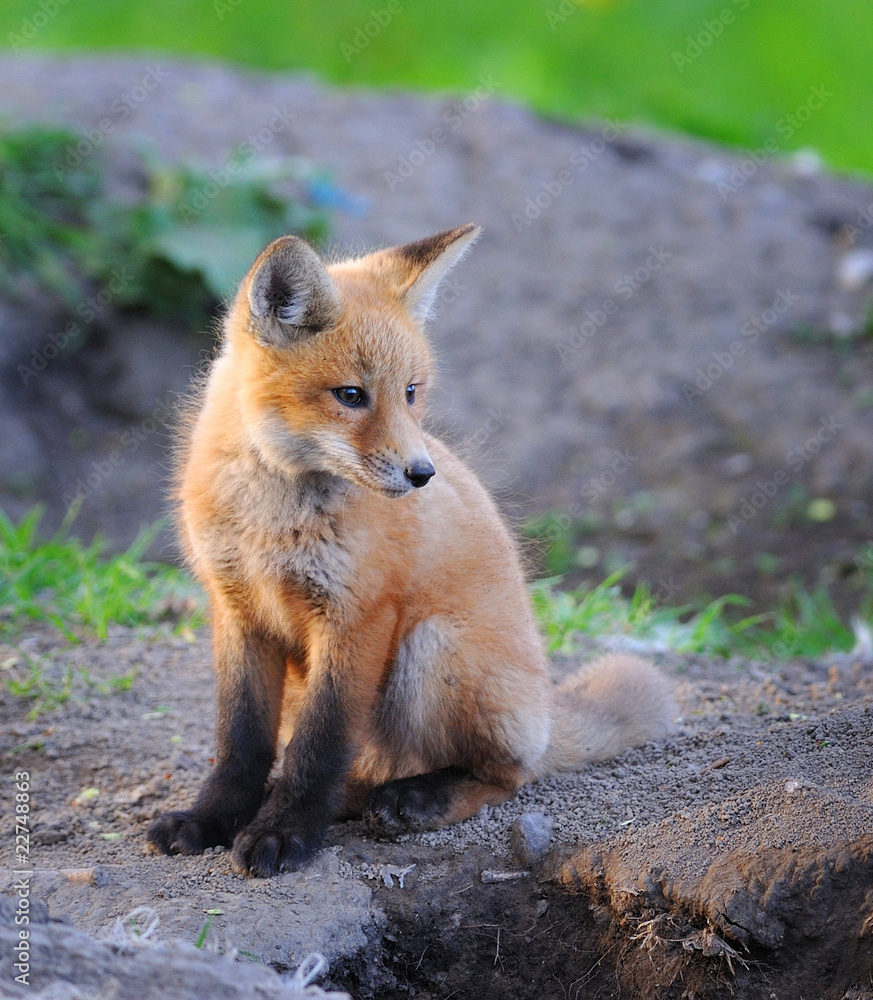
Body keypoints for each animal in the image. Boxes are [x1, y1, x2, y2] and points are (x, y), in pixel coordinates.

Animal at [147, 224, 675, 877]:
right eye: (351, 394)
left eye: (411, 393)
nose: (422, 473)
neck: (272, 517)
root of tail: (546, 714)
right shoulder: (235, 609)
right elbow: (240, 743)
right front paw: (213, 818)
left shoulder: (359, 613)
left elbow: (319, 747)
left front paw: (285, 832)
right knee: (358, 770)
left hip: (435, 649)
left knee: (509, 772)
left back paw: (419, 797)